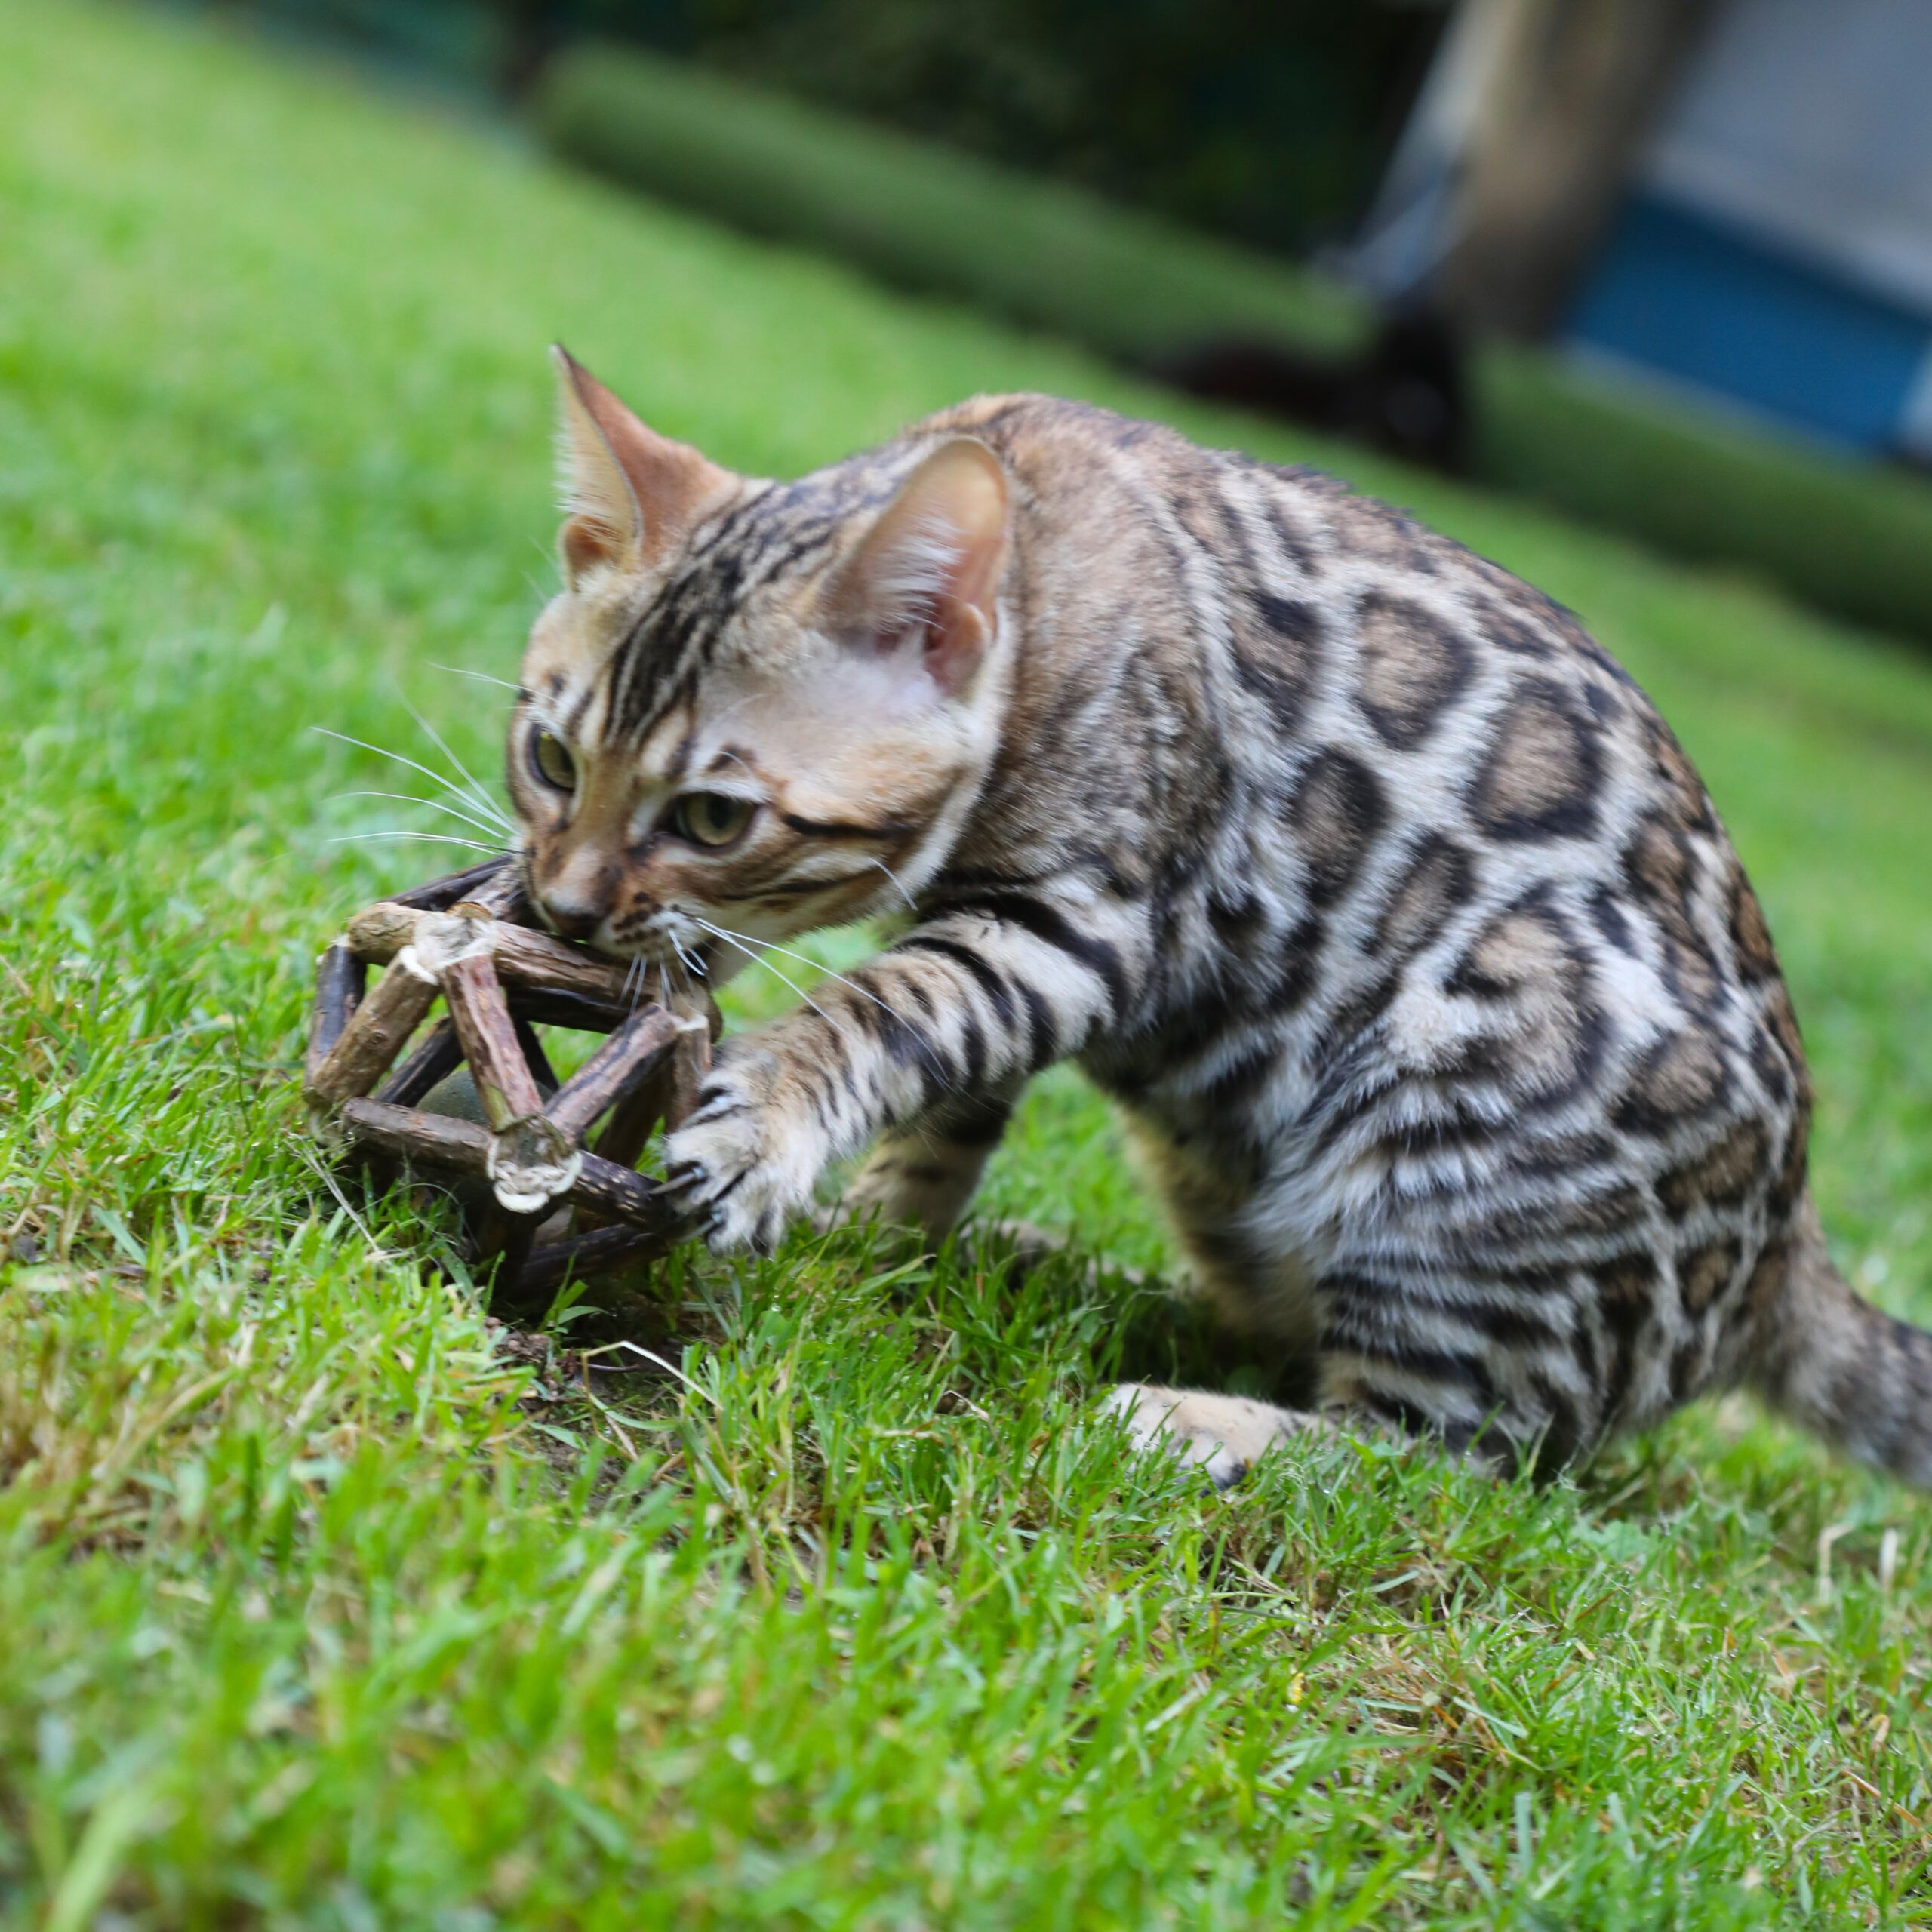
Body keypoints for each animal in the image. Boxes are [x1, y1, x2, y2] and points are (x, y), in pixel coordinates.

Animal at [502, 347, 1932, 1484]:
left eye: (712, 820)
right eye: (552, 760)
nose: (562, 907)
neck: (1041, 595)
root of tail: (1785, 1253)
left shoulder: (1076, 923)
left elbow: (883, 1009)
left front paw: (769, 1130)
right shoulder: (1005, 933)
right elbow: (948, 1106)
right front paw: (885, 1234)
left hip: (1458, 1134)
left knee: (1445, 1458)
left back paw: (1190, 1420)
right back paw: (1039, 1264)